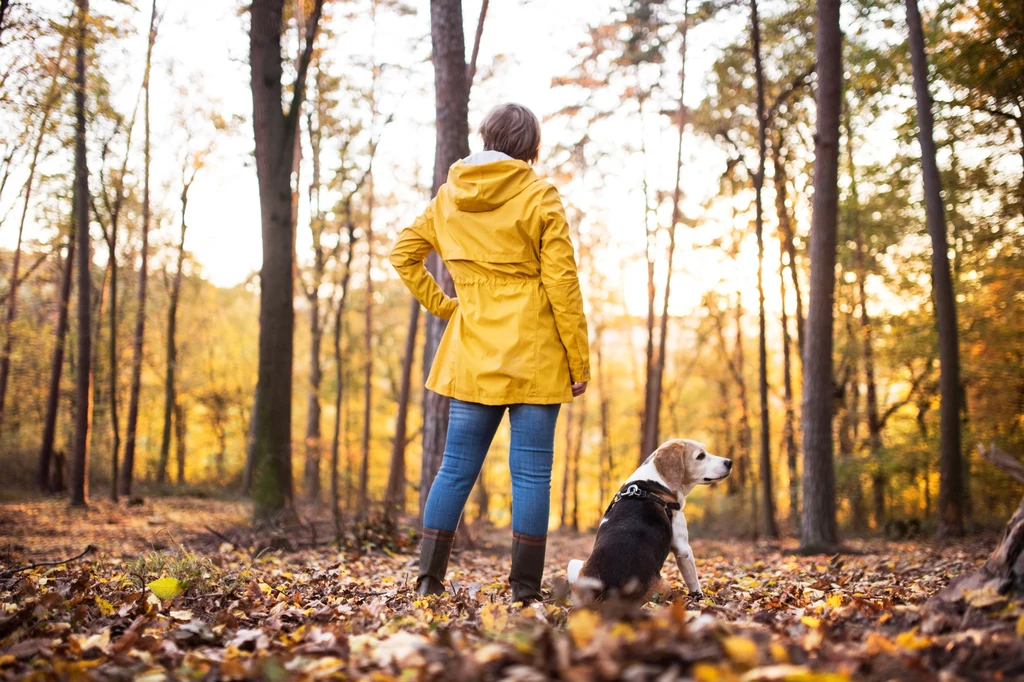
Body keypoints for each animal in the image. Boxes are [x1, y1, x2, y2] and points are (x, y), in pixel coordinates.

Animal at [569, 438, 729, 598]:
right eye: (700, 456)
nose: (729, 462)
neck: (655, 483)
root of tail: (611, 590)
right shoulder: (683, 549)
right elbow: (693, 581)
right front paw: (698, 596)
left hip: (573, 565)